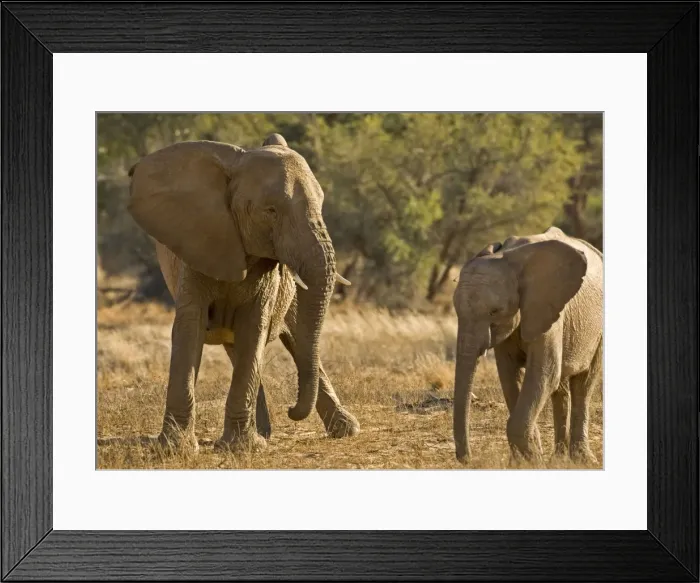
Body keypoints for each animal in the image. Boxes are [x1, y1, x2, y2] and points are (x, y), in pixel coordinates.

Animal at [126, 132, 360, 452]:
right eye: (271, 211)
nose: (291, 409)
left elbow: (254, 327)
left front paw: (242, 449)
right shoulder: (196, 249)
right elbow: (190, 328)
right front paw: (176, 448)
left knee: (297, 341)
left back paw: (345, 430)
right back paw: (265, 432)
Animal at [451, 226, 602, 464]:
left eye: (494, 311)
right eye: (455, 309)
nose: (468, 460)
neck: (507, 259)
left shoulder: (546, 308)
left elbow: (543, 373)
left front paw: (533, 460)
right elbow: (510, 375)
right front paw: (524, 460)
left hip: (598, 331)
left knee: (584, 384)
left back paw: (583, 461)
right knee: (560, 387)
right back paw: (559, 460)